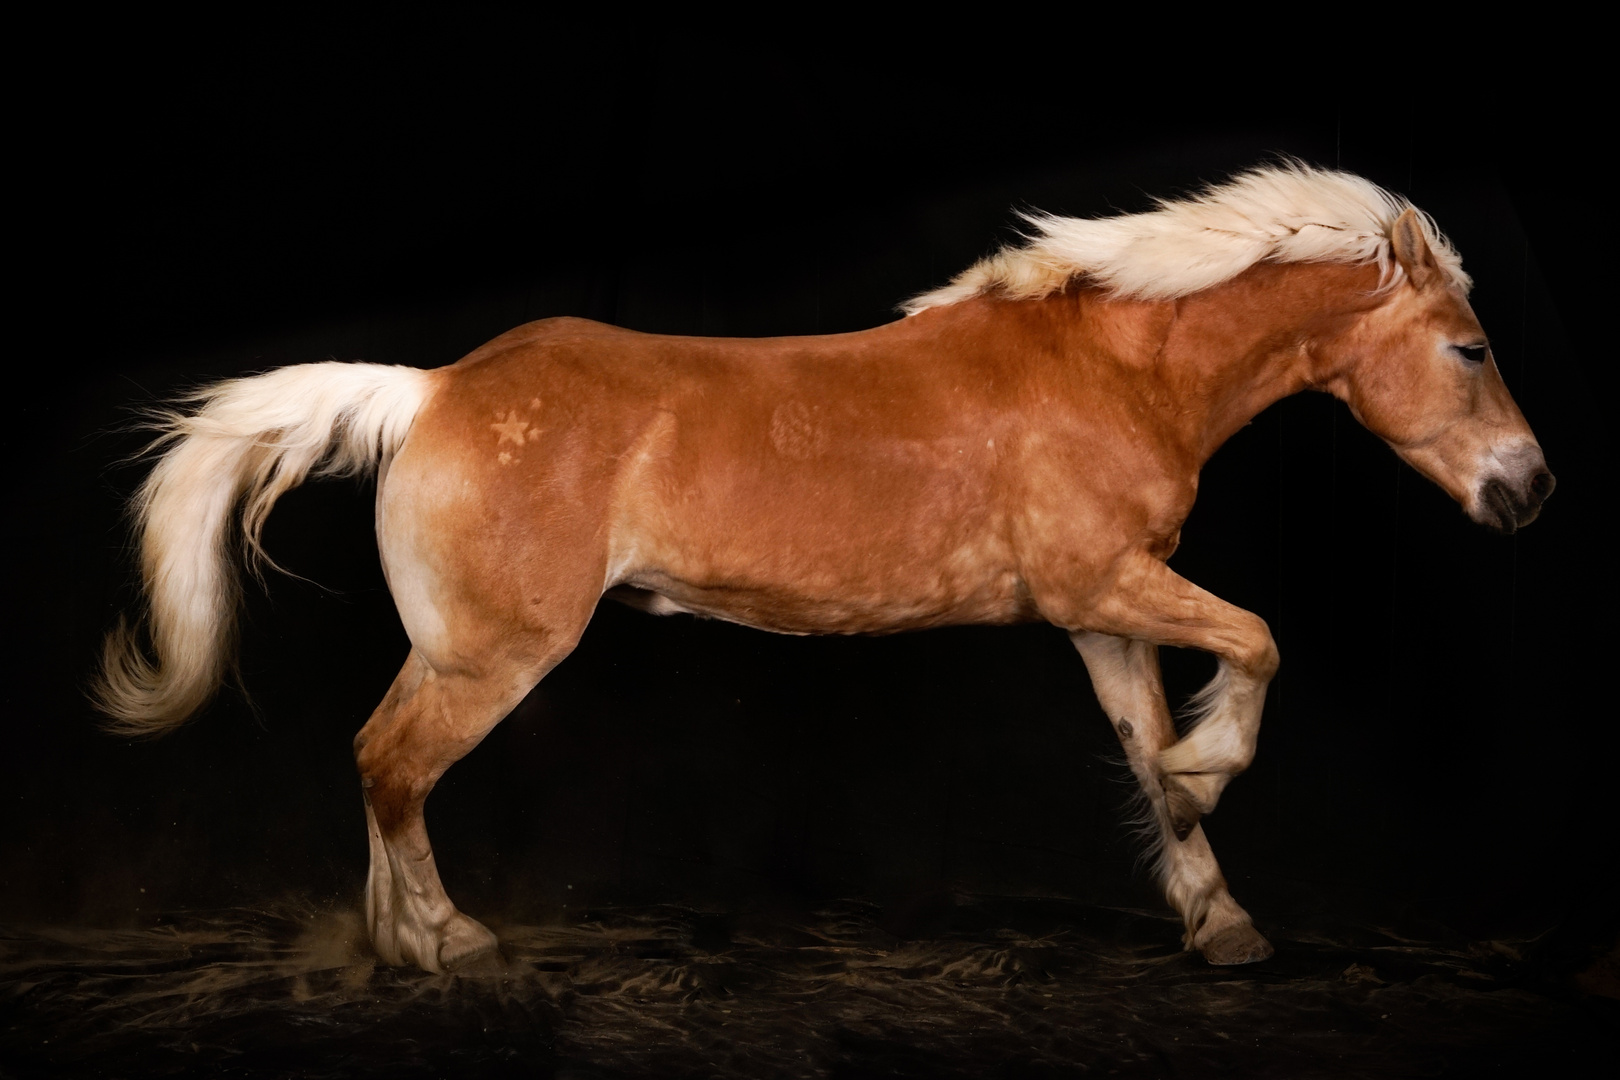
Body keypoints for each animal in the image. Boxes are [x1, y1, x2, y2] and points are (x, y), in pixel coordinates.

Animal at [98, 166, 1555, 971]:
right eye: (1472, 348)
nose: (1532, 490)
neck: (1111, 373)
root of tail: (434, 390)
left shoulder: (1102, 615)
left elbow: (1150, 753)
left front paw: (1222, 919)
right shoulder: (1098, 586)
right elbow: (1256, 644)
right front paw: (1213, 777)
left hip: (457, 649)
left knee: (372, 760)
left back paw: (394, 945)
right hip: (493, 654)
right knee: (393, 764)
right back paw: (447, 943)